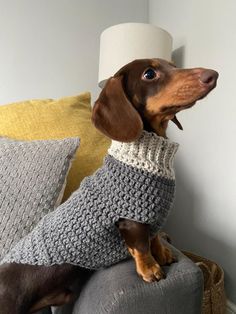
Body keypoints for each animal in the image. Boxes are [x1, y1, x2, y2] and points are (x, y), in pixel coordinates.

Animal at [0, 58, 218, 312]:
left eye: (173, 65)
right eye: (149, 74)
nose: (213, 75)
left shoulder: (149, 214)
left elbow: (153, 237)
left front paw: (162, 253)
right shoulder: (130, 220)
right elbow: (141, 246)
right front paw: (150, 269)